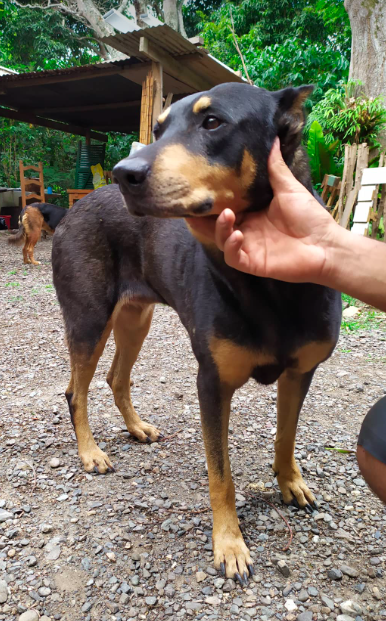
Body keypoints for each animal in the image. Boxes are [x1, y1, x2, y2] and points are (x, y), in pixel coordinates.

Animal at [52, 83, 342, 588]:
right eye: (158, 129)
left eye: (213, 123)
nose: (123, 172)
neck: (268, 285)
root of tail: (72, 208)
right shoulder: (212, 382)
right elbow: (220, 474)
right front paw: (230, 545)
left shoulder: (301, 371)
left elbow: (286, 435)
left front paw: (290, 482)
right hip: (89, 319)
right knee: (76, 392)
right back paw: (90, 453)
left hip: (135, 319)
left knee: (115, 378)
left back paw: (136, 428)